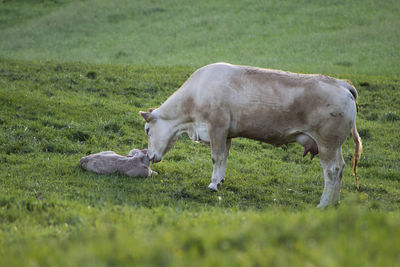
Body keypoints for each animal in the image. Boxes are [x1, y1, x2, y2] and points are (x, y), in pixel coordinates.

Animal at [141, 63, 362, 209]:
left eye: (147, 130)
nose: (149, 156)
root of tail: (341, 83)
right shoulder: (226, 134)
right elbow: (224, 157)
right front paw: (220, 180)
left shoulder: (217, 127)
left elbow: (216, 156)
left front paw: (212, 185)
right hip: (335, 145)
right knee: (340, 168)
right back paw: (334, 202)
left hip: (327, 143)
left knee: (331, 171)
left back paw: (323, 203)